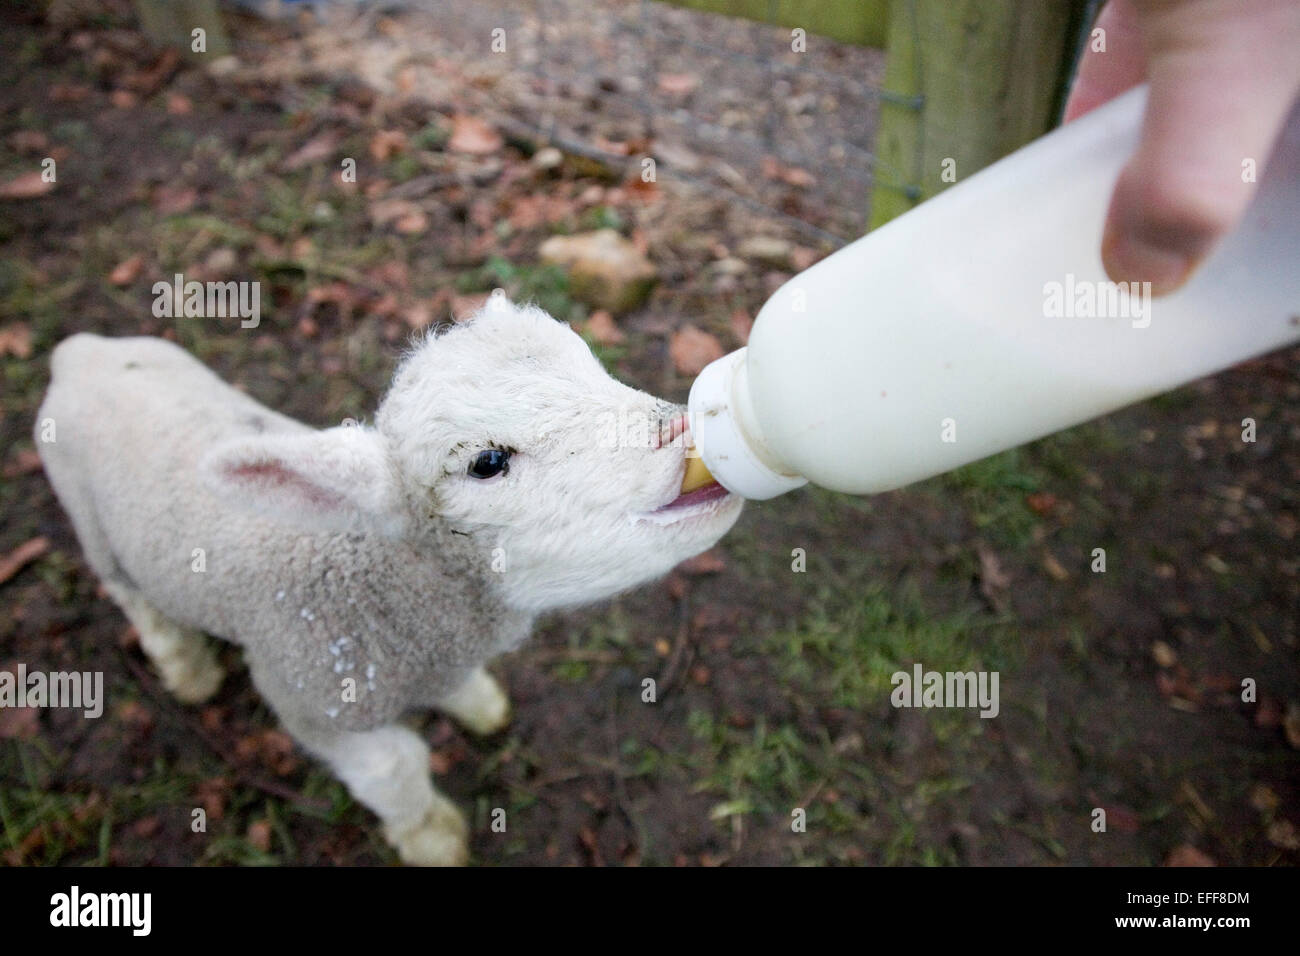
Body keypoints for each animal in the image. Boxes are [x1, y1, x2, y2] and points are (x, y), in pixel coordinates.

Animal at [35, 299, 744, 865]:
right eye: (488, 462)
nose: (688, 432)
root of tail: (81, 352)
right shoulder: (307, 695)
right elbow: (394, 768)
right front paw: (432, 838)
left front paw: (475, 702)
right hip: (88, 516)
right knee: (132, 596)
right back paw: (187, 668)